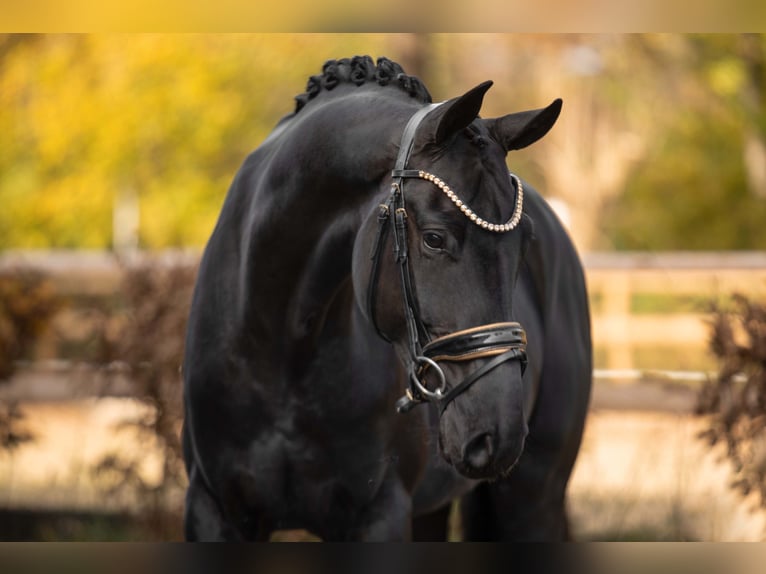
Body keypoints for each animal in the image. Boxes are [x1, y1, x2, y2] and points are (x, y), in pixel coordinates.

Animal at [182, 56, 592, 544]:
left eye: (524, 242)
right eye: (434, 238)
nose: (500, 433)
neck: (280, 348)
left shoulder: (379, 515)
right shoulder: (214, 509)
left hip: (532, 499)